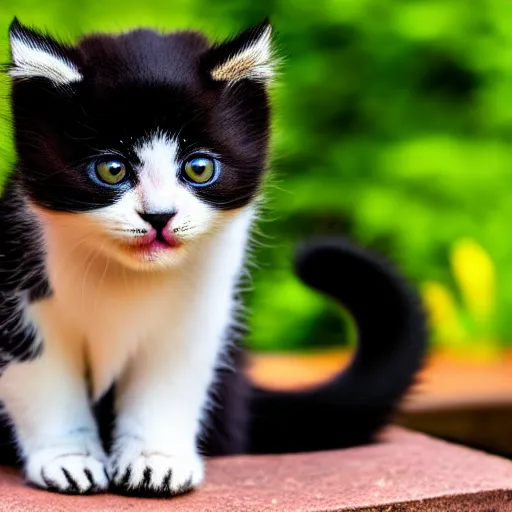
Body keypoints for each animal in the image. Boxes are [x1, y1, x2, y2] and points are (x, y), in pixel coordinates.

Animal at [0, 19, 426, 496]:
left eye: (199, 168)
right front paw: (69, 460)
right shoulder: (16, 288)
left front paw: (156, 461)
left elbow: (170, 381)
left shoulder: (200, 311)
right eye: (111, 170)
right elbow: (42, 379)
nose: (159, 216)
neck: (126, 277)